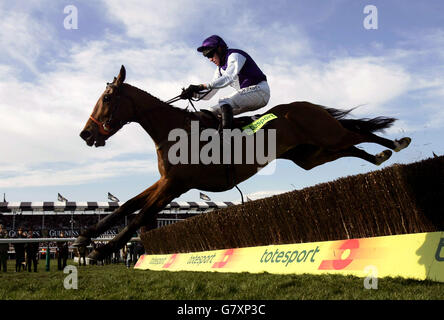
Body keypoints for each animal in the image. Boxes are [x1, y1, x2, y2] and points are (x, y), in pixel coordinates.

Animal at [74, 65, 412, 260]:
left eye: (107, 98)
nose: (86, 133)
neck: (174, 130)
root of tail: (306, 105)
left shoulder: (176, 184)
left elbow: (141, 216)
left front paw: (101, 250)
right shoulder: (166, 180)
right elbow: (127, 205)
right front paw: (84, 237)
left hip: (326, 137)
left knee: (357, 133)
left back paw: (395, 144)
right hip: (311, 155)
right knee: (352, 146)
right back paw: (381, 156)